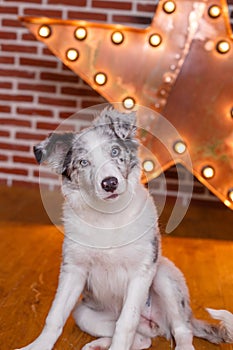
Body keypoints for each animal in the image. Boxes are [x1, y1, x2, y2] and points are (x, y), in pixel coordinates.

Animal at [17, 108, 233, 348]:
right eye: (83, 162)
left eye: (114, 151)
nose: (110, 183)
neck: (109, 217)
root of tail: (157, 325)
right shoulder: (73, 269)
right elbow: (54, 316)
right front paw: (39, 345)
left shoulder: (142, 271)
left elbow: (126, 323)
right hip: (85, 313)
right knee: (143, 339)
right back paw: (99, 344)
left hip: (164, 277)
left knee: (182, 330)